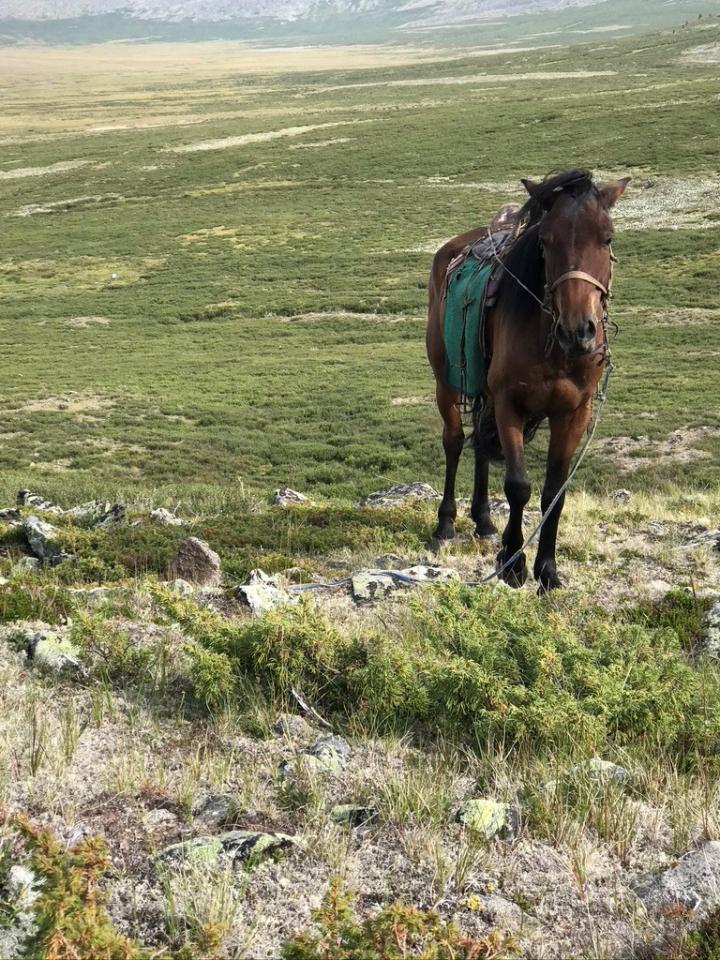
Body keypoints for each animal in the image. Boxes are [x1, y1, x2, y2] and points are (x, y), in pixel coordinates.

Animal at [425, 169, 630, 592]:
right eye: (546, 240)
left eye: (607, 238)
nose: (578, 331)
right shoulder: (510, 405)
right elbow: (518, 486)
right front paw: (512, 564)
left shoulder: (574, 412)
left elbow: (555, 492)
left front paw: (547, 569)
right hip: (445, 382)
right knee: (454, 441)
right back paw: (446, 525)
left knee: (480, 445)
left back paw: (485, 522)